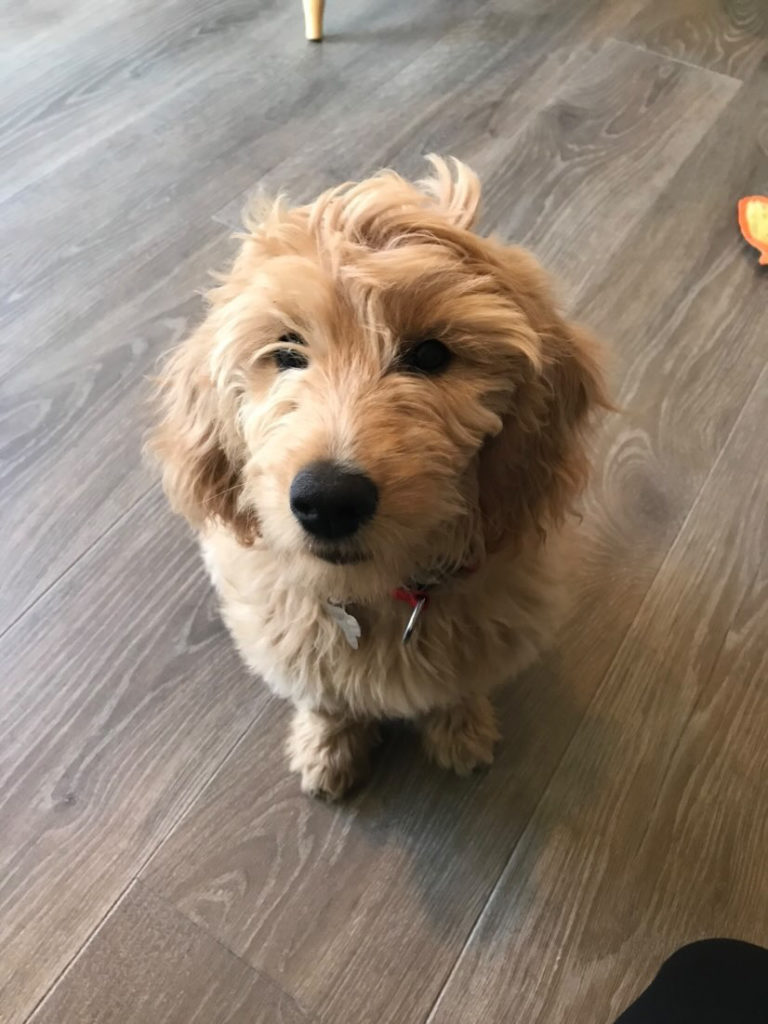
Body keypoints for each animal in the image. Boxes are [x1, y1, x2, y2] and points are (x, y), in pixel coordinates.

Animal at [148, 157, 606, 798]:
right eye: (287, 352)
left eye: (432, 355)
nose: (328, 500)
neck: (382, 589)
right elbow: (326, 697)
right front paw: (327, 748)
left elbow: (458, 687)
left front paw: (461, 731)